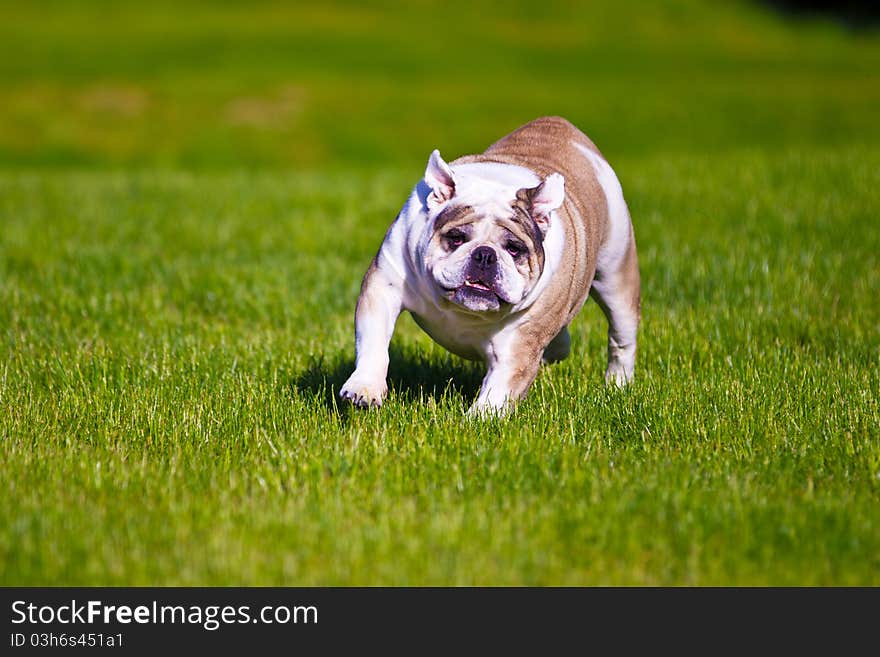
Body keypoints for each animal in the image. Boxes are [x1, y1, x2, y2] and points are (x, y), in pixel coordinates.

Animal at [338, 114, 640, 412]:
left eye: (514, 249)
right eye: (456, 238)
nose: (485, 254)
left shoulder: (520, 346)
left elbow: (498, 391)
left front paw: (477, 420)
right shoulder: (384, 286)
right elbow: (374, 343)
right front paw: (364, 388)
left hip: (617, 278)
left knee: (621, 339)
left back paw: (617, 386)